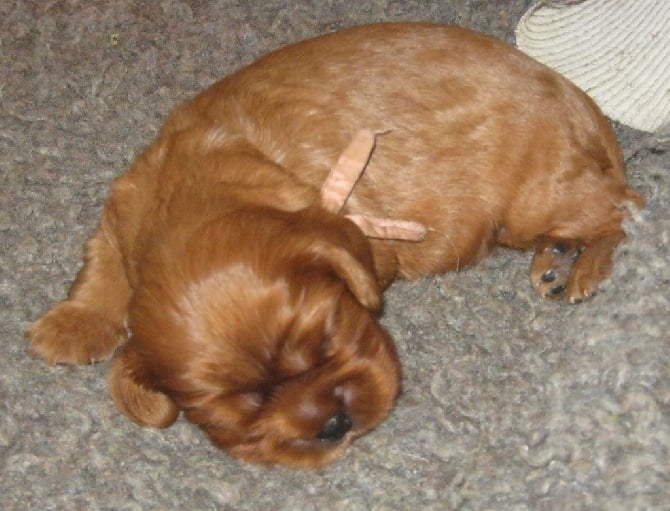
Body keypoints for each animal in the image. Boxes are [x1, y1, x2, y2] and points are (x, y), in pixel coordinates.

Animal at [26, 23, 644, 468]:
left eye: (327, 339)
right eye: (239, 407)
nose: (332, 423)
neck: (196, 186)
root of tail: (575, 96)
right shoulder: (125, 204)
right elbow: (102, 264)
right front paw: (73, 324)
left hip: (533, 198)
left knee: (625, 205)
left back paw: (587, 267)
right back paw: (558, 259)